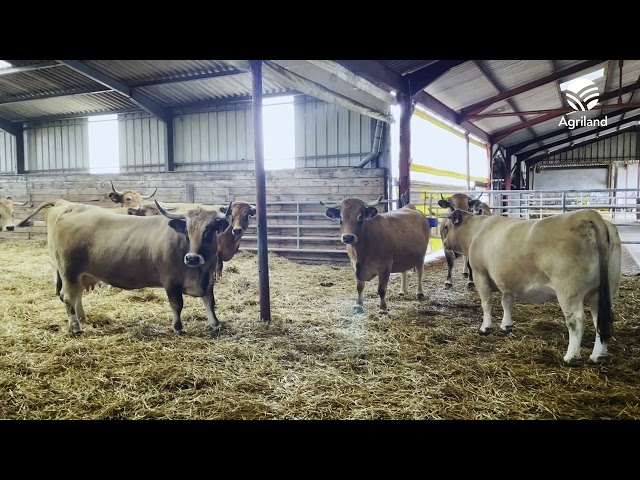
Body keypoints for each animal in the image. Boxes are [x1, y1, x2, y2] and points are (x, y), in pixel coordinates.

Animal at [48, 199, 232, 334]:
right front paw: (178, 328)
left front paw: (215, 324)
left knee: (77, 296)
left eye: (209, 230)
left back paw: (82, 319)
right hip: (69, 272)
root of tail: (74, 208)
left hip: (79, 275)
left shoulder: (208, 279)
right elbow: (177, 304)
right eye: (186, 230)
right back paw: (75, 328)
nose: (192, 258)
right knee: (68, 297)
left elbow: (210, 301)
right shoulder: (170, 281)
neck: (197, 272)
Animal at [440, 208, 620, 366]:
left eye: (447, 227)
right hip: (602, 291)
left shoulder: (480, 275)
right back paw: (597, 356)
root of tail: (589, 214)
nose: (444, 243)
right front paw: (506, 325)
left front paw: (485, 328)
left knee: (576, 321)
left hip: (569, 291)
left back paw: (571, 357)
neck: (476, 230)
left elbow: (486, 304)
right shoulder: (509, 281)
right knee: (600, 320)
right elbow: (506, 302)